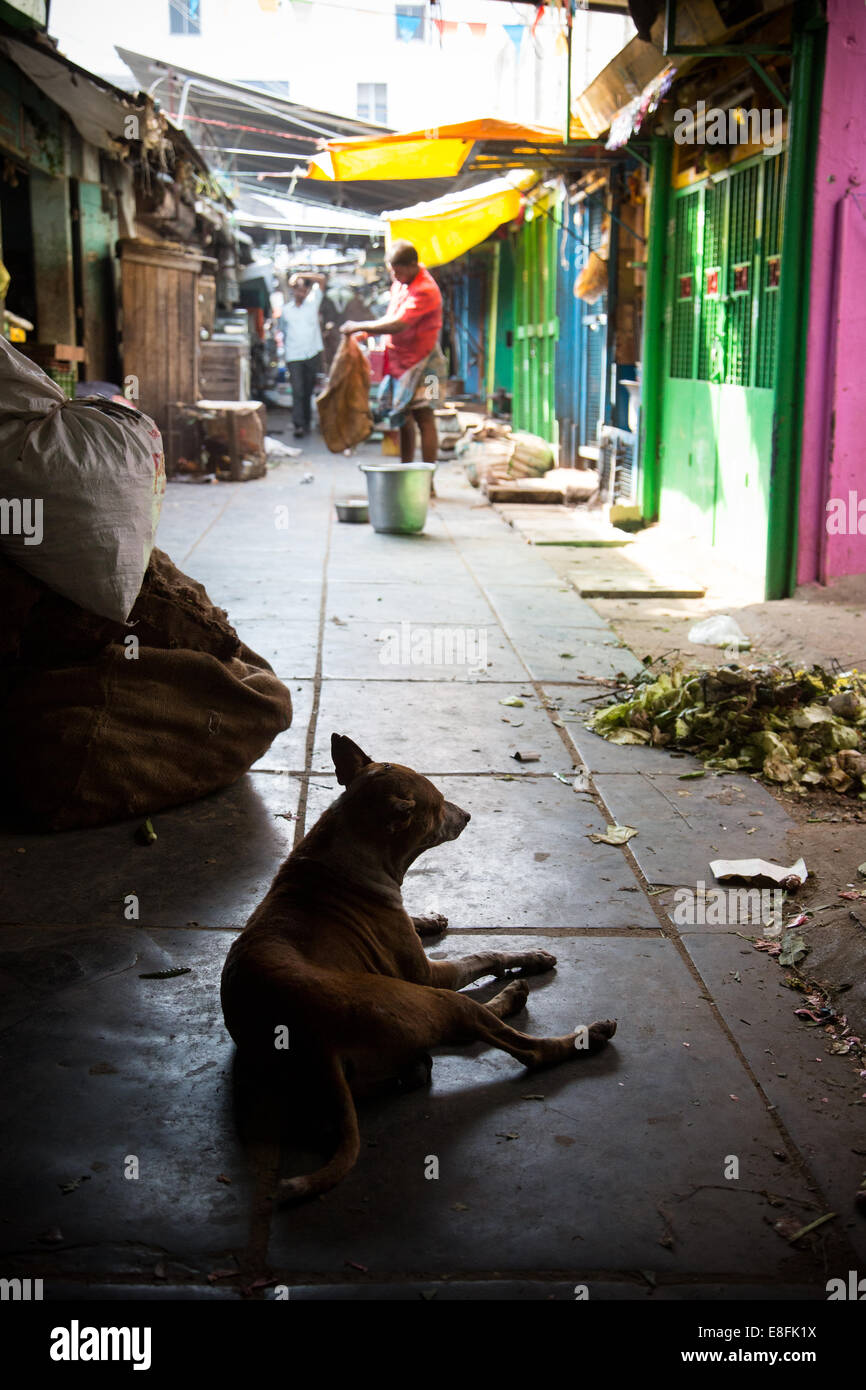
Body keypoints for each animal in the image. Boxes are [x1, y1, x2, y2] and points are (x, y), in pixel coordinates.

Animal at [222, 733, 617, 1200]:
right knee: (523, 1047)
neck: (348, 852)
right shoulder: (427, 973)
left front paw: (428, 919)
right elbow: (483, 955)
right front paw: (529, 957)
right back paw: (583, 1032)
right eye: (440, 805)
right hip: (430, 999)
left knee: (458, 1038)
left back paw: (508, 1000)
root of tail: (314, 1039)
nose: (468, 815)